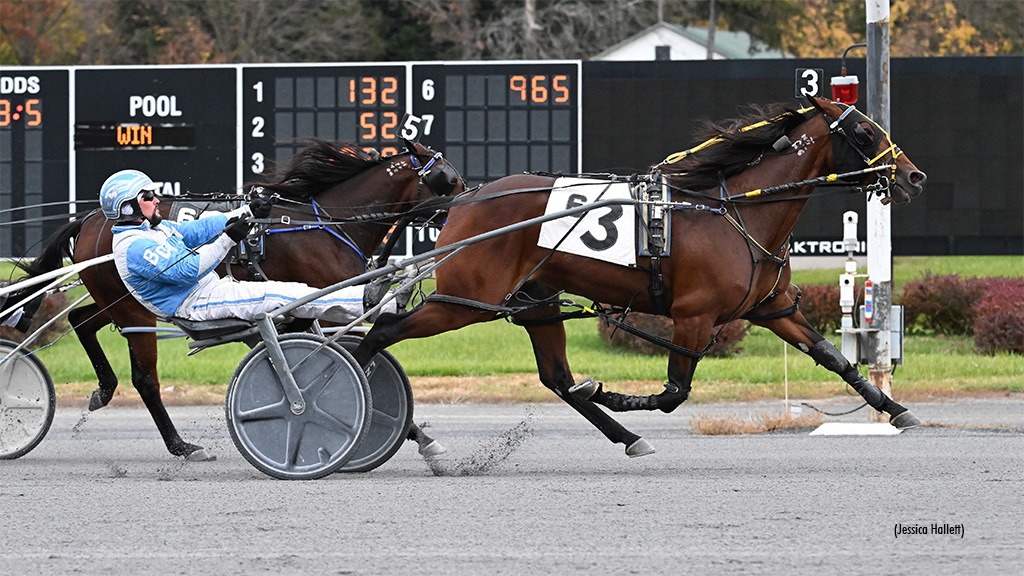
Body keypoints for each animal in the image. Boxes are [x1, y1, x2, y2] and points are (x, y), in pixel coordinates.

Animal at [14, 136, 462, 459]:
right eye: (448, 178)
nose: (468, 202)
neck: (320, 226)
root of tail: (92, 219)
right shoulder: (312, 311)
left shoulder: (310, 313)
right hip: (130, 308)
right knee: (145, 379)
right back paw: (180, 445)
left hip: (118, 302)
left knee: (81, 321)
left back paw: (104, 389)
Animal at [352, 99, 929, 457]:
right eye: (864, 131)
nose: (913, 176)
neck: (736, 212)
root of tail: (467, 198)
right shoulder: (693, 315)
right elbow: (674, 392)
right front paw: (614, 393)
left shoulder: (770, 307)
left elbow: (834, 358)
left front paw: (898, 410)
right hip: (465, 299)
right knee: (378, 335)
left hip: (534, 299)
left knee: (557, 379)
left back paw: (626, 435)